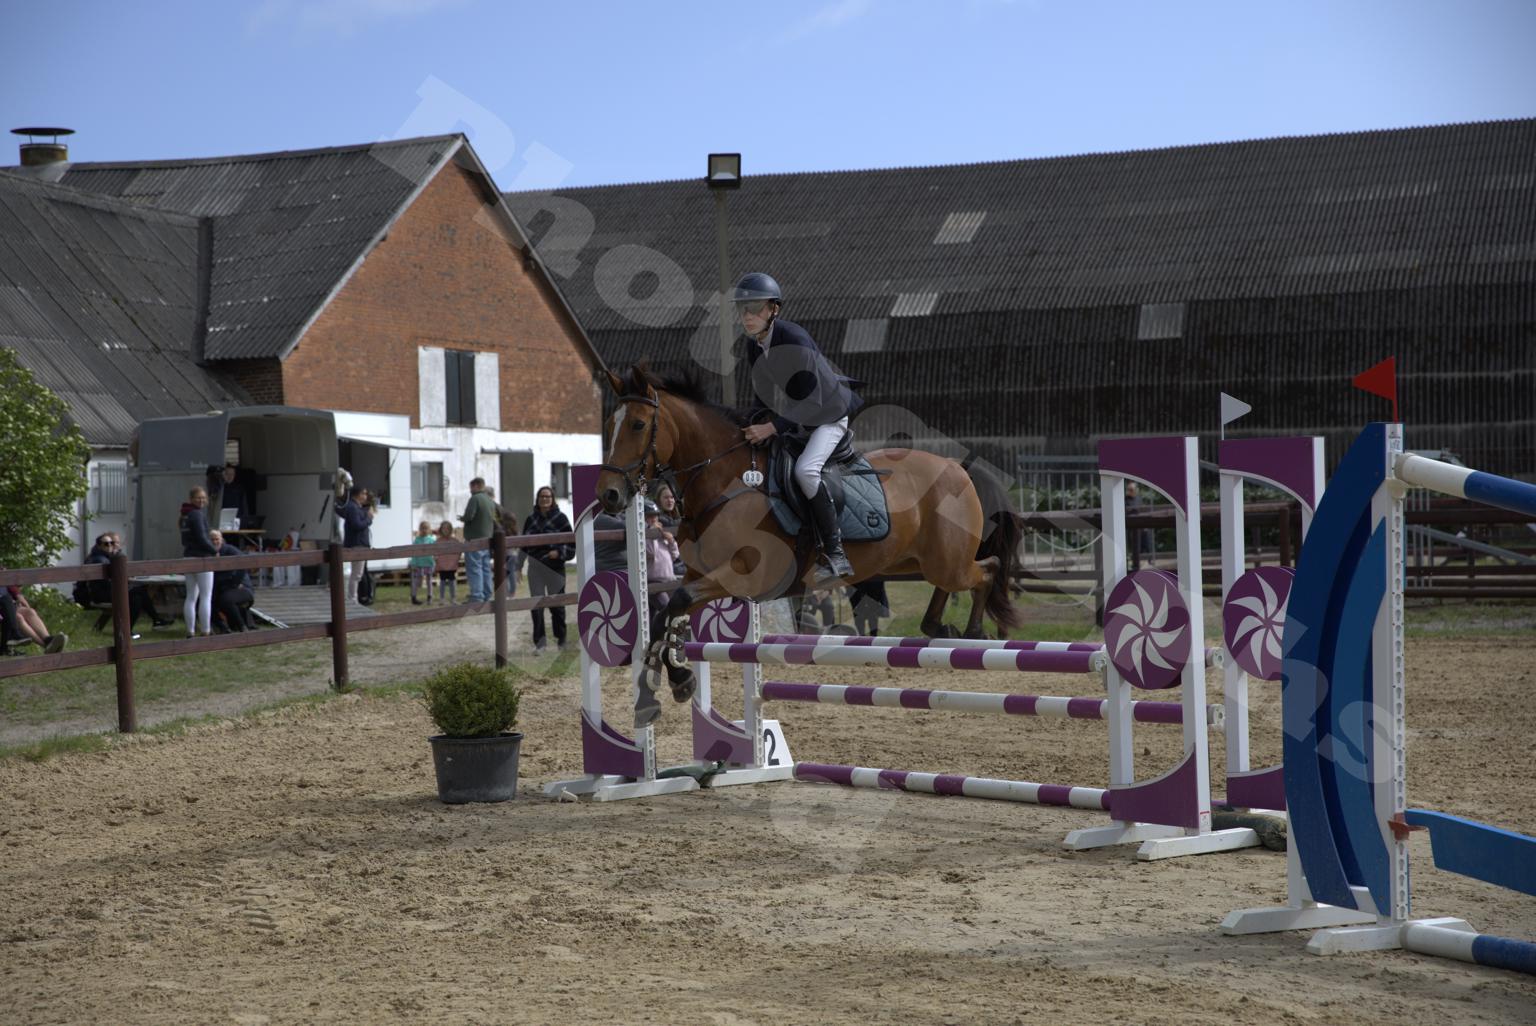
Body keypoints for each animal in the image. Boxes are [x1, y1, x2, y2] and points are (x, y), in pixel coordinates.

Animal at [597, 365, 1023, 724]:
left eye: (638, 424)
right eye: (609, 424)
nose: (609, 496)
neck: (724, 482)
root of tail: (957, 467)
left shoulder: (747, 577)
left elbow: (678, 604)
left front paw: (669, 679)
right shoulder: (701, 573)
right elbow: (667, 615)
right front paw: (669, 684)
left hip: (947, 562)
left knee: (988, 571)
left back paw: (973, 631)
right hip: (909, 560)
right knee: (953, 585)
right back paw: (938, 625)